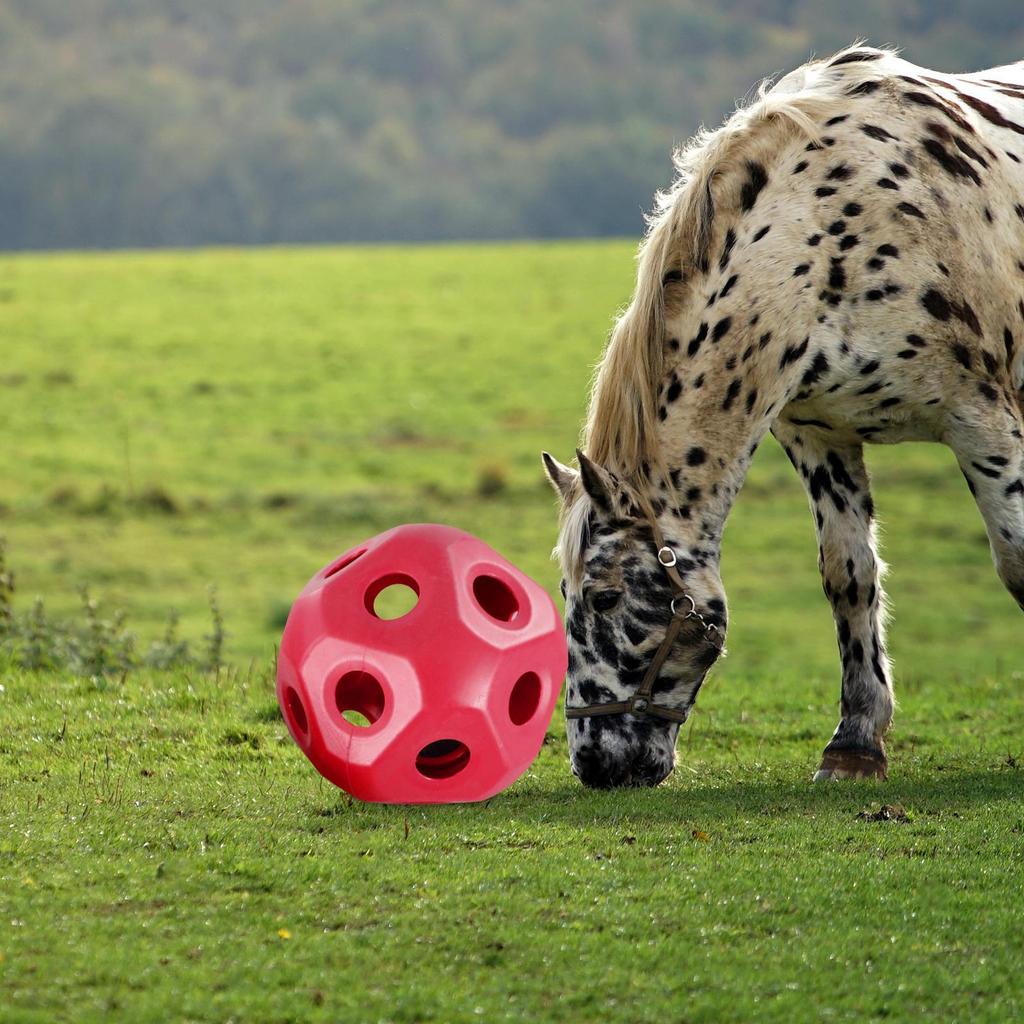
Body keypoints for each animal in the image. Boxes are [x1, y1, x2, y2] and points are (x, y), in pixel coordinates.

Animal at [542, 45, 1024, 789]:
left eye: (603, 598)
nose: (594, 763)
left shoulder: (983, 421)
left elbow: (1019, 561)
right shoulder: (817, 434)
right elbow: (848, 576)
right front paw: (855, 743)